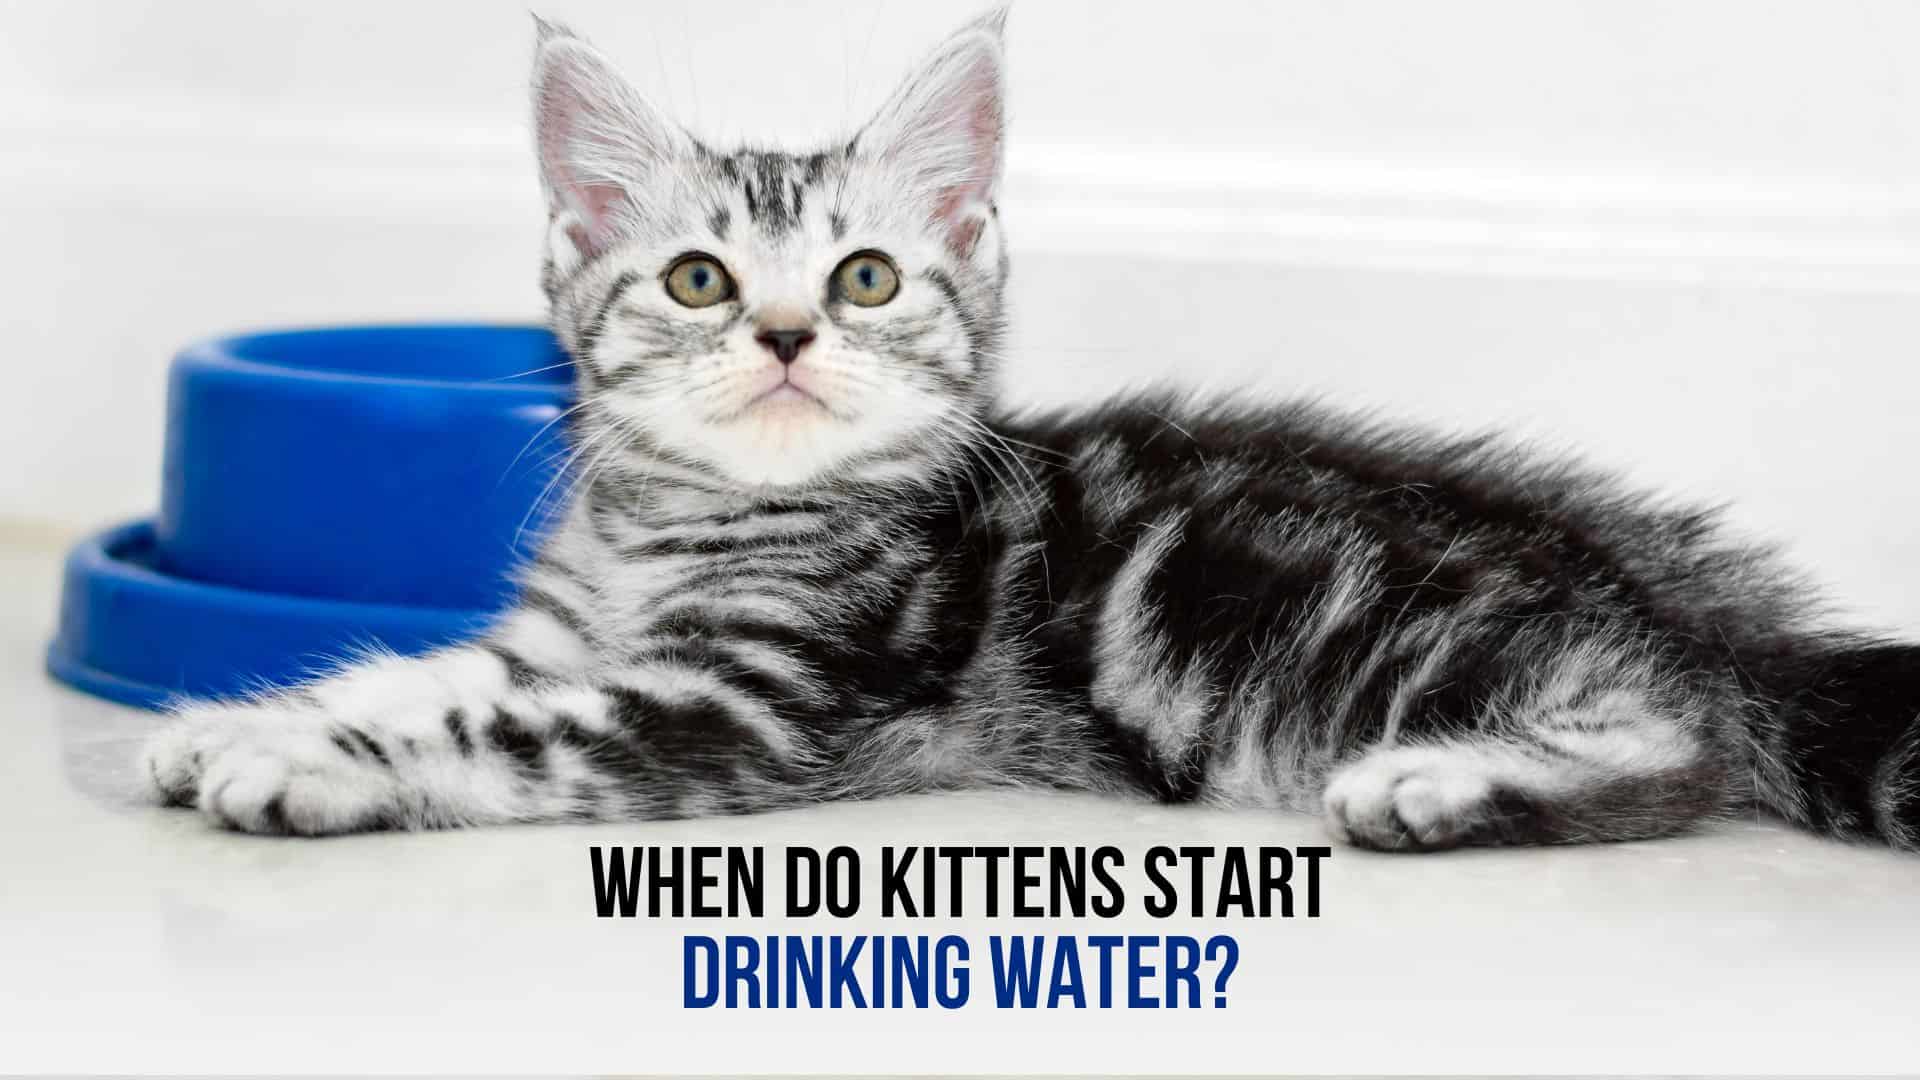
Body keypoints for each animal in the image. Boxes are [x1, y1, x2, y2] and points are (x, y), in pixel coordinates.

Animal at [145, 10, 1920, 849]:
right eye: (702, 279)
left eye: (864, 278)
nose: (785, 336)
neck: (686, 526)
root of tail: (1679, 602)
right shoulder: (558, 637)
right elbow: (416, 674)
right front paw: (242, 718)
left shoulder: (751, 704)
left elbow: (486, 733)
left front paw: (303, 766)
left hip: (1373, 642)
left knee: (1682, 746)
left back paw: (1443, 790)